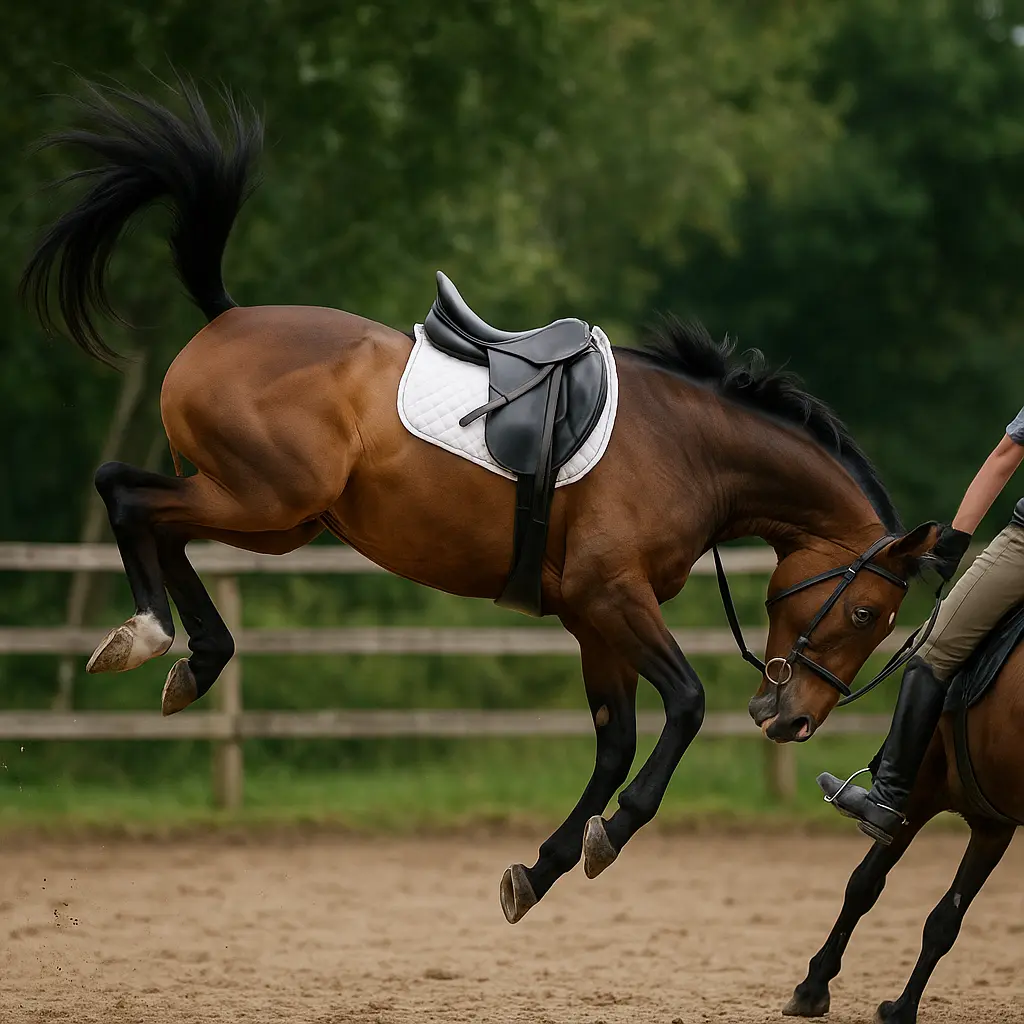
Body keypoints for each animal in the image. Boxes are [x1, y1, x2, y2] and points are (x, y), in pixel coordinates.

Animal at [20, 79, 945, 925]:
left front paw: (543, 868)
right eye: (868, 614)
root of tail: (229, 316)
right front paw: (612, 835)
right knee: (128, 495)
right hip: (263, 497)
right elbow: (683, 707)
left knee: (157, 518)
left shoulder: (590, 616)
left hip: (275, 518)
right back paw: (148, 636)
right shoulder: (613, 596)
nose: (794, 723)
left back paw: (193, 660)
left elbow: (614, 741)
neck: (691, 448)